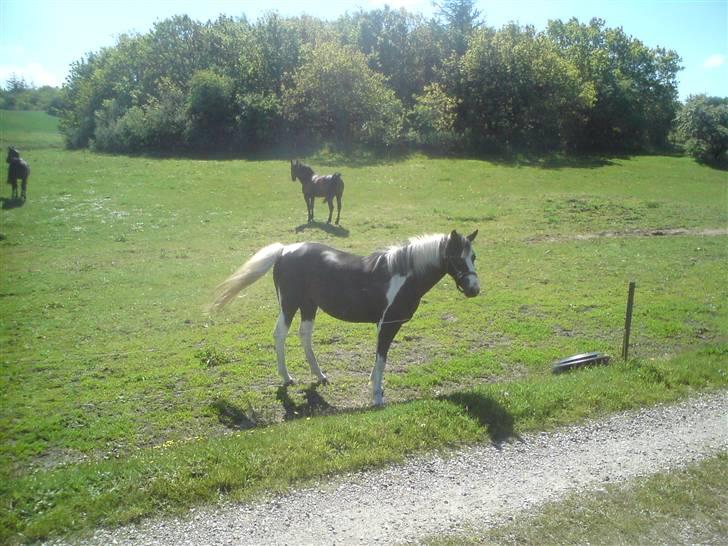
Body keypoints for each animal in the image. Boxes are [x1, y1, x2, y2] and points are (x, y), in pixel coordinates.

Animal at [210, 228, 480, 404]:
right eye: (457, 258)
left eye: (473, 257)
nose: (474, 289)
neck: (402, 275)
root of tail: (285, 250)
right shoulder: (387, 324)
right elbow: (382, 357)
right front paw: (377, 396)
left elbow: (379, 358)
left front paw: (374, 385)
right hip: (289, 304)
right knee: (280, 334)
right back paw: (286, 378)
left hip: (309, 306)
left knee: (304, 336)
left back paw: (319, 376)